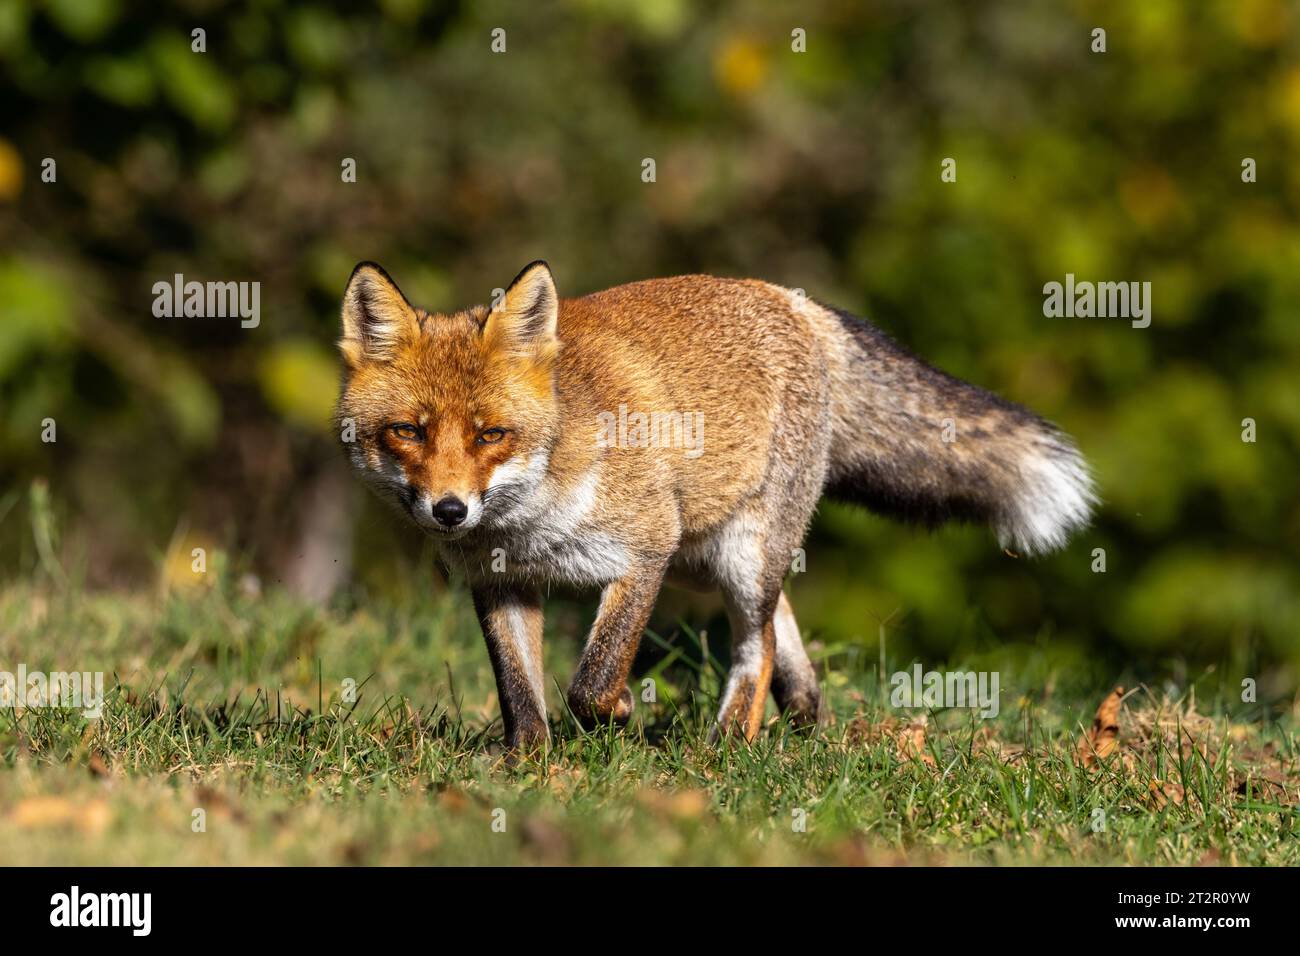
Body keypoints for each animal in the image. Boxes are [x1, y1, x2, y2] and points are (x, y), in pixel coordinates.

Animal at [338, 264, 1097, 754]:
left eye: (491, 435)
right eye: (407, 432)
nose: (450, 510)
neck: (531, 520)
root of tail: (795, 302)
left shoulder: (644, 551)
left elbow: (592, 681)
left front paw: (618, 713)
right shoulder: (501, 582)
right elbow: (519, 692)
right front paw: (528, 765)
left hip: (735, 555)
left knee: (757, 646)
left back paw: (729, 742)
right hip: (706, 561)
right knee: (783, 631)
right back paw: (805, 720)